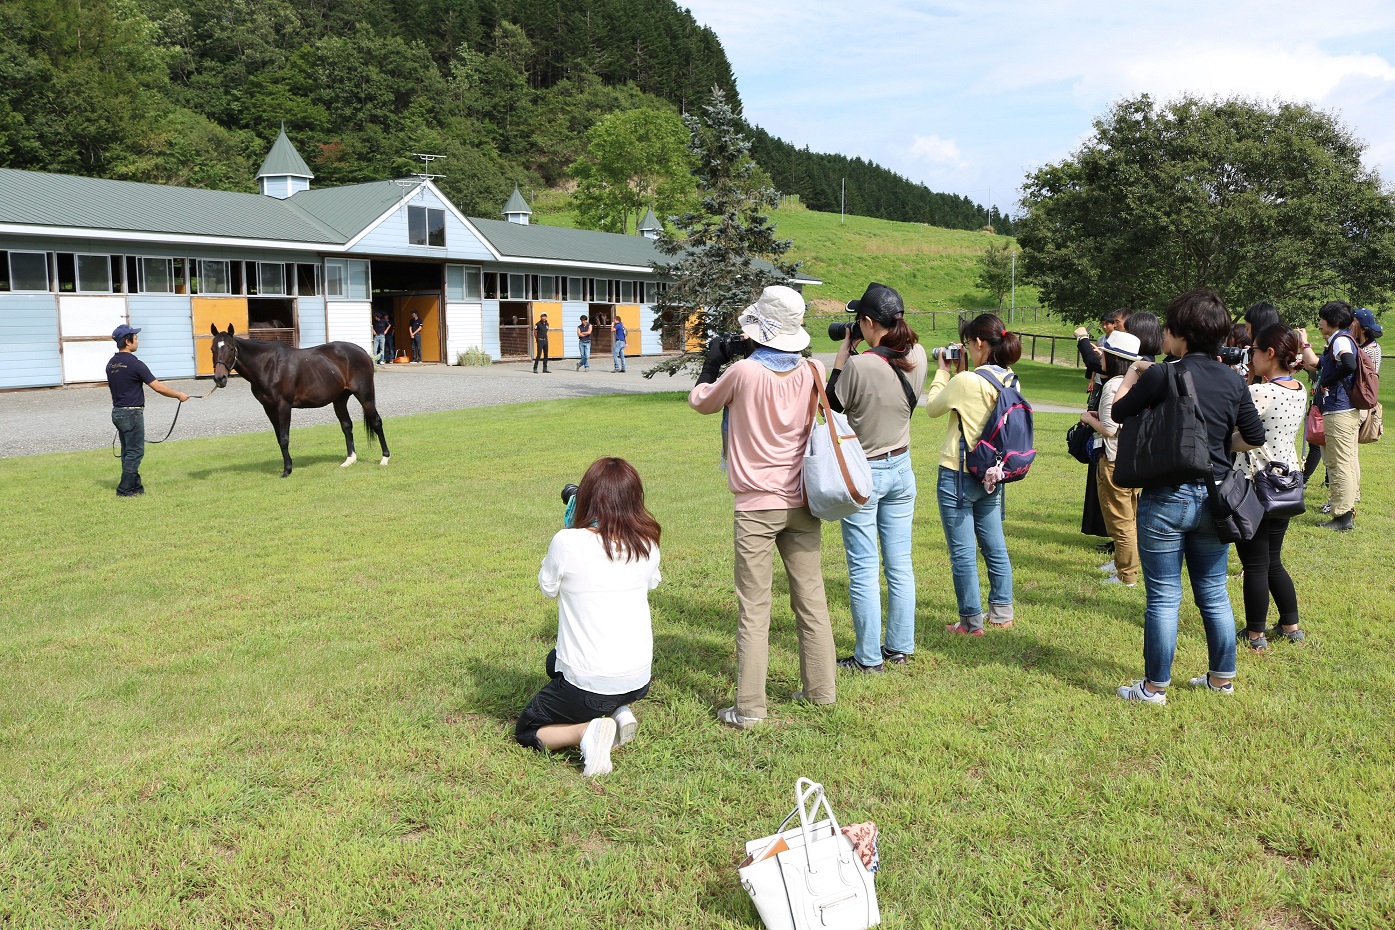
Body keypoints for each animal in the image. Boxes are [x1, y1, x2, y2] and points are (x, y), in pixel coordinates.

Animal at [209, 323, 390, 476]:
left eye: (231, 349)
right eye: (212, 349)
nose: (220, 378)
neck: (269, 366)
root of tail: (363, 352)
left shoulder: (283, 406)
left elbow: (284, 438)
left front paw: (287, 470)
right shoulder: (269, 408)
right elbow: (279, 438)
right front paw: (287, 466)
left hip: (365, 395)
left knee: (376, 422)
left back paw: (384, 458)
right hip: (339, 399)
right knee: (346, 426)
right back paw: (350, 460)